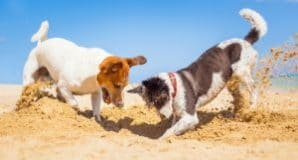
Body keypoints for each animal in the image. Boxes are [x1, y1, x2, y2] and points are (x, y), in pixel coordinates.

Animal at [128, 8, 268, 139]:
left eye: (160, 98)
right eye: (150, 104)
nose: (162, 116)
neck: (175, 87)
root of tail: (245, 41)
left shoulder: (190, 116)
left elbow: (169, 131)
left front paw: (160, 140)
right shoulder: (179, 115)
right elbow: (174, 127)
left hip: (241, 72)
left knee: (254, 88)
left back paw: (252, 107)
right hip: (231, 81)